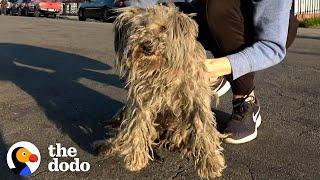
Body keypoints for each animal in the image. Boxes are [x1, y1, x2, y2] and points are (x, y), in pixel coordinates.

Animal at [95, 3, 228, 179]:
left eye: (164, 28)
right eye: (140, 26)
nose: (147, 45)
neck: (162, 69)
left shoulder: (195, 99)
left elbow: (203, 129)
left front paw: (210, 163)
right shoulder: (142, 99)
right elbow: (136, 125)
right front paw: (135, 158)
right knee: (122, 132)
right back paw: (108, 145)